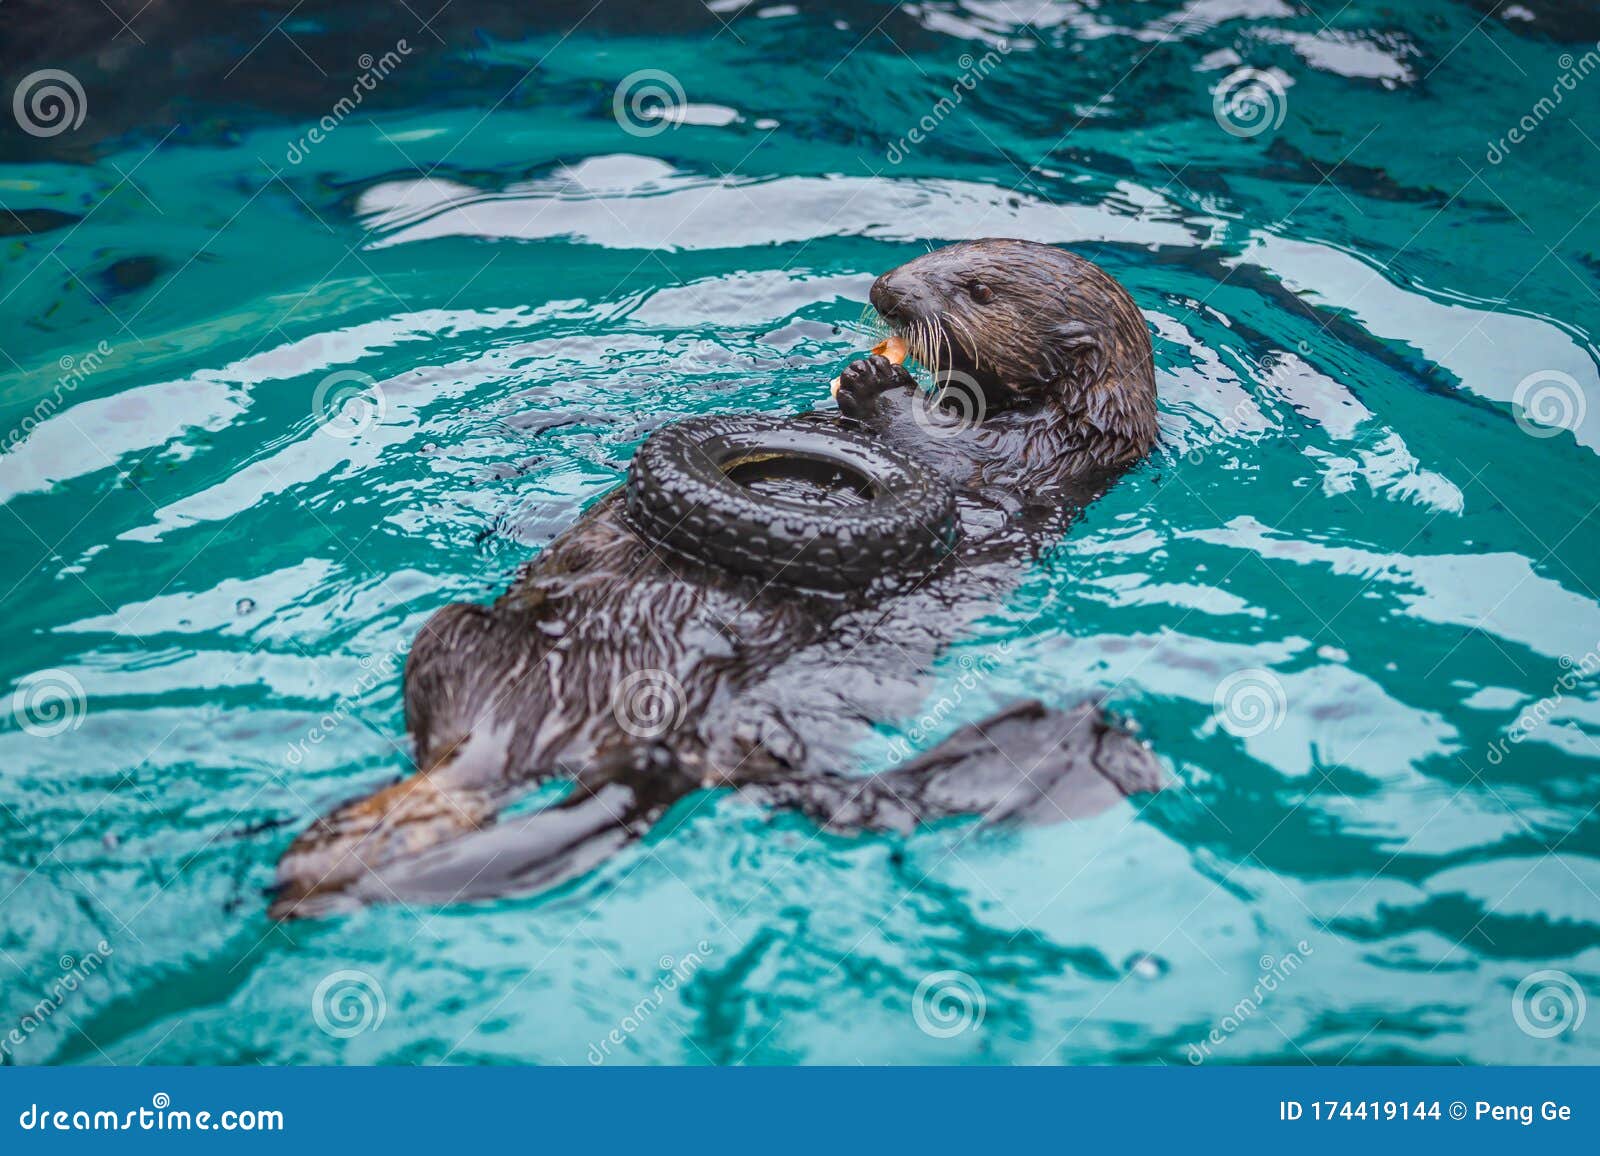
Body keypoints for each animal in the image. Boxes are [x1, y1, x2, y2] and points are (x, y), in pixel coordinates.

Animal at [270, 239, 1164, 919]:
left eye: (978, 289)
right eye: (944, 248)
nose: (884, 290)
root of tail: (510, 736)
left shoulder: (1029, 459)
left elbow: (944, 450)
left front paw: (875, 381)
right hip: (460, 633)